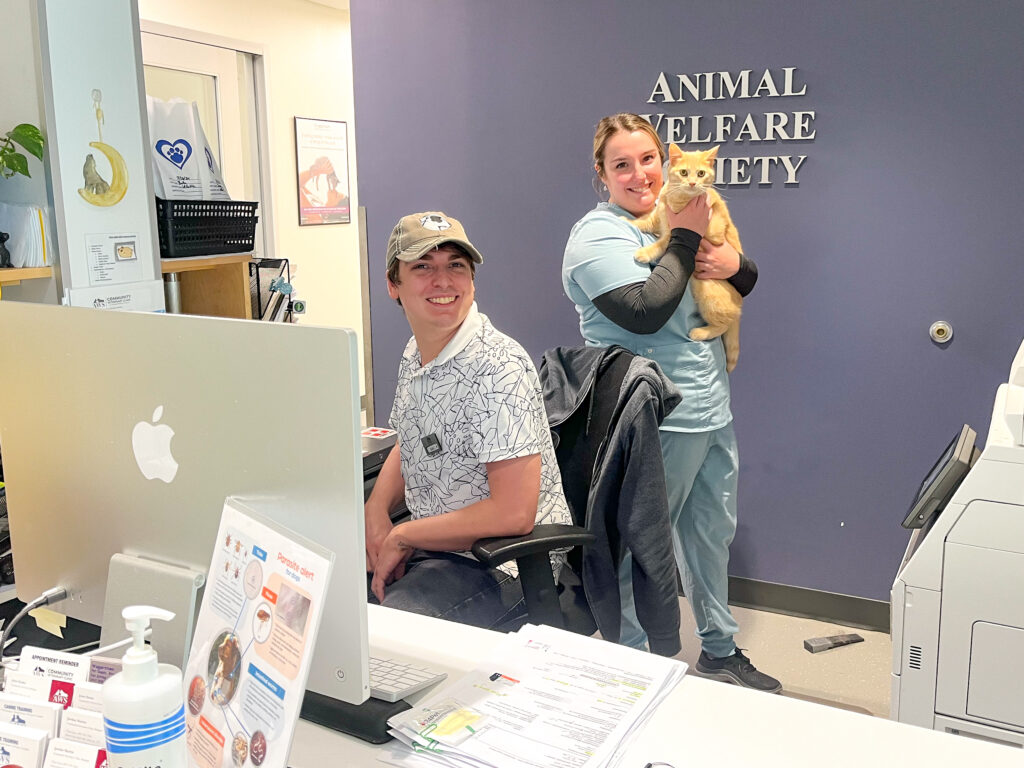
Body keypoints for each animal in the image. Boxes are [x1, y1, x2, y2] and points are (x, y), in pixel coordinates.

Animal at [630, 145, 745, 376]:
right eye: (684, 173)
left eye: (700, 174)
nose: (692, 183)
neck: (678, 199)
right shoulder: (658, 216)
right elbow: (647, 220)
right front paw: (627, 219)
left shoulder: (697, 233)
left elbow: (662, 243)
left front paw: (645, 252)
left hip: (706, 288)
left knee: (723, 324)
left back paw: (701, 332)